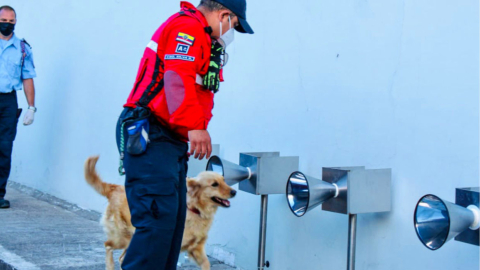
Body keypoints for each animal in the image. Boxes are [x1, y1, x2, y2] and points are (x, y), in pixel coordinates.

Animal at [86, 156, 238, 270]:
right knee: (108, 245)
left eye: (224, 180)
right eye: (214, 184)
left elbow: (206, 264)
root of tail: (114, 188)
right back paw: (110, 265)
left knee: (122, 258)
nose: (234, 192)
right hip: (124, 238)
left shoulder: (197, 248)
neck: (196, 209)